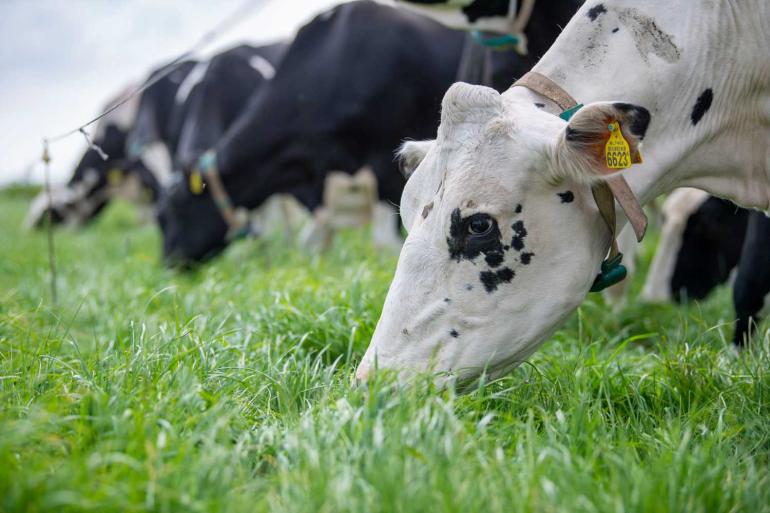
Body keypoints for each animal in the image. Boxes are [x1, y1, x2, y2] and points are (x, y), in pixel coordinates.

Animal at [156, 0, 580, 264]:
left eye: (172, 212)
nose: (169, 263)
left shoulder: (381, 163)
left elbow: (386, 237)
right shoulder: (318, 184)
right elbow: (315, 240)